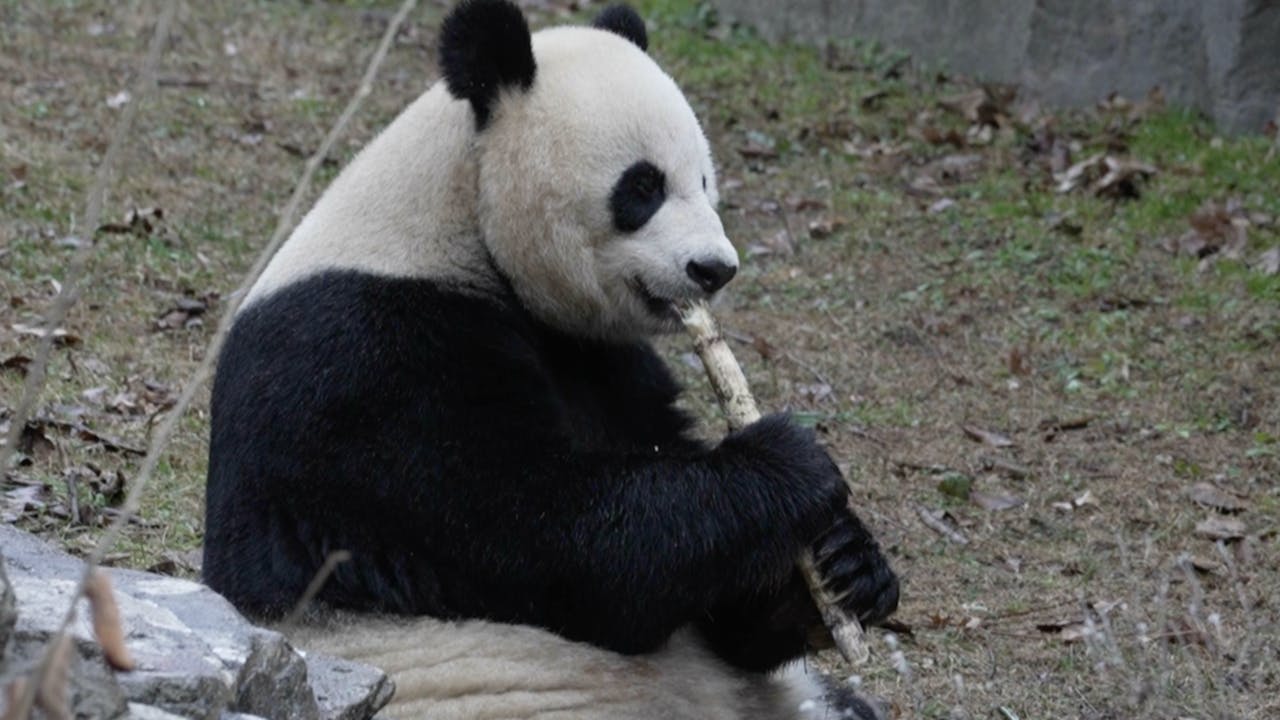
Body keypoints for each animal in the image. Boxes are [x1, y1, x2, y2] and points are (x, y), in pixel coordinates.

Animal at [203, 1, 899, 718]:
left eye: (705, 181)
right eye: (642, 186)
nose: (714, 269)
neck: (458, 222)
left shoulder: (606, 363)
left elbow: (723, 613)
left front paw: (846, 563)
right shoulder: (363, 361)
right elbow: (557, 544)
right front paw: (788, 463)